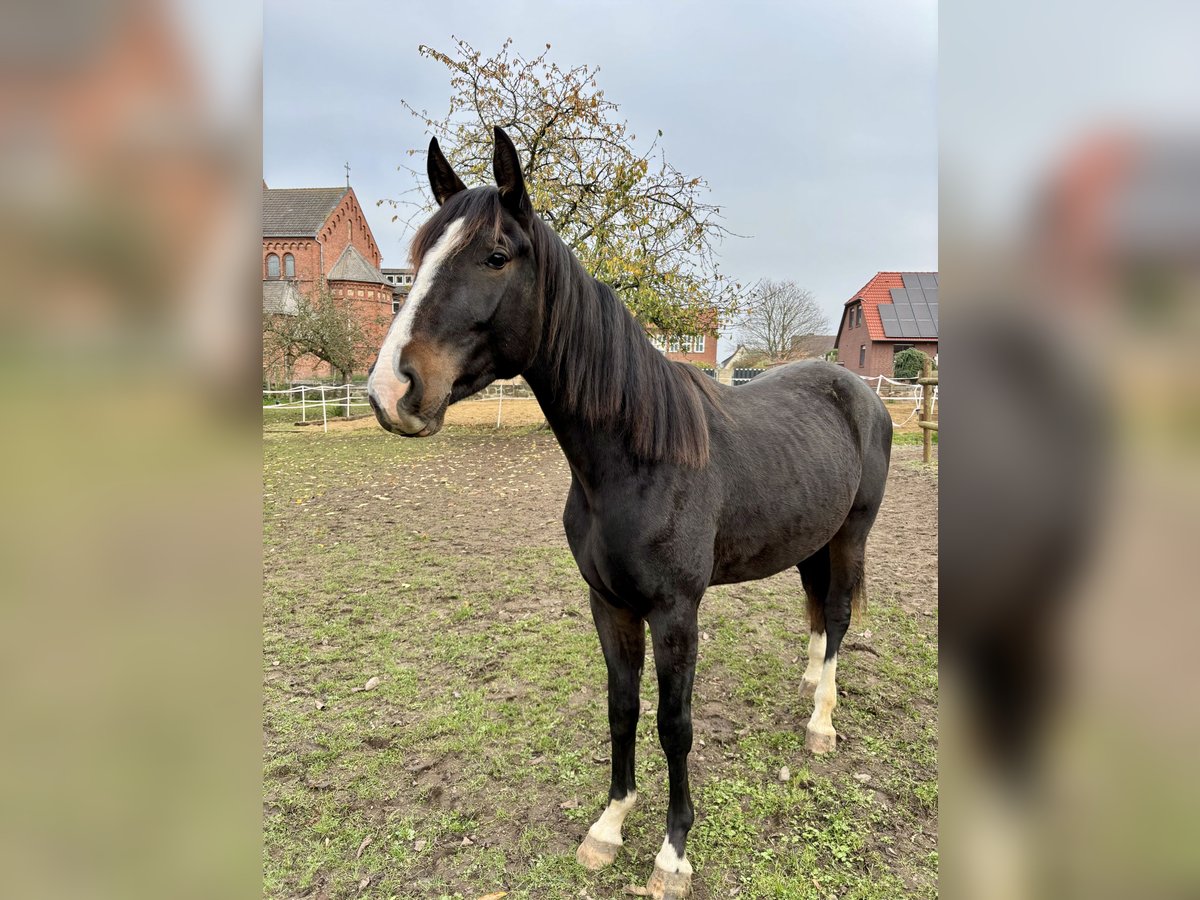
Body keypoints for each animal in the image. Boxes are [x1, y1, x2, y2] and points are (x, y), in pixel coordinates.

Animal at [369, 128, 897, 900]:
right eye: (417, 258)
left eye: (495, 255)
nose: (391, 389)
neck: (633, 461)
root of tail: (857, 389)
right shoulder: (608, 604)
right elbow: (622, 709)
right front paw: (609, 826)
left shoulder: (676, 613)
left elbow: (674, 724)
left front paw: (672, 854)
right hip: (811, 539)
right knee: (817, 617)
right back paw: (808, 683)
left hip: (852, 534)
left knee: (837, 615)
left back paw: (821, 722)